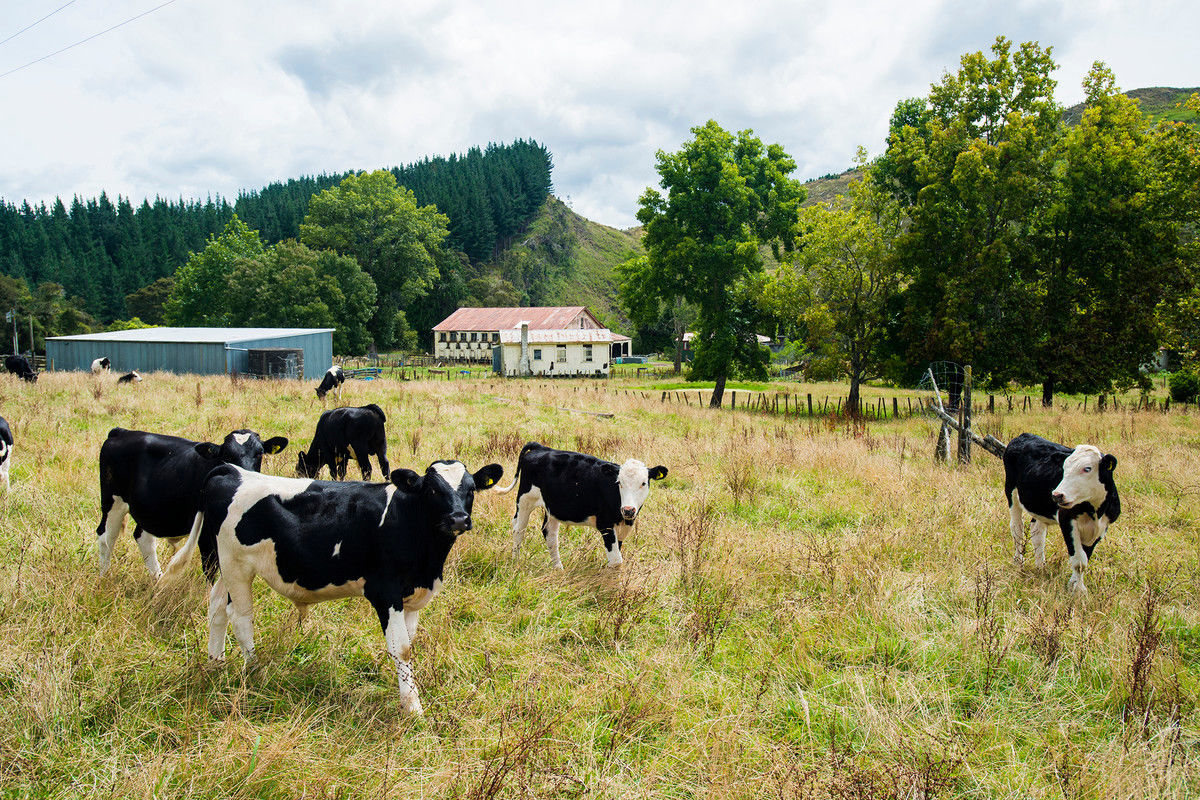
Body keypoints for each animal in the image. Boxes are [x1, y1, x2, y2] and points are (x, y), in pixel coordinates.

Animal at [96, 429, 288, 578]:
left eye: (259, 453)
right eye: (227, 455)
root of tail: (122, 432)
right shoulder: (205, 534)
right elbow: (211, 568)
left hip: (149, 509)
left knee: (143, 538)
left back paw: (157, 580)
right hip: (112, 501)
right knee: (106, 537)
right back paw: (104, 578)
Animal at [159, 460, 501, 714]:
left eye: (471, 489)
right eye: (432, 488)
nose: (458, 518)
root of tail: (231, 470)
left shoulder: (414, 596)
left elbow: (408, 641)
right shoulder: (385, 592)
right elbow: (401, 648)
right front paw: (413, 708)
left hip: (224, 566)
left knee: (216, 606)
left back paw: (215, 664)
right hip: (237, 563)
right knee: (240, 616)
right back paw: (254, 671)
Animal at [492, 443, 672, 568]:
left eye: (643, 483)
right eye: (619, 483)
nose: (628, 510)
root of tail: (542, 447)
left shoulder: (621, 528)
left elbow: (617, 555)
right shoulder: (606, 525)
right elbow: (616, 560)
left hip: (553, 506)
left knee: (550, 534)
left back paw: (558, 568)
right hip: (525, 499)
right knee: (519, 530)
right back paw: (516, 563)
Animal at [998, 431, 1118, 594]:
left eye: (1087, 468)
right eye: (1064, 468)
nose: (1057, 495)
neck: (1095, 510)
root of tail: (1024, 435)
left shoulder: (1102, 527)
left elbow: (1085, 557)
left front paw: (1075, 584)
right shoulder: (1067, 521)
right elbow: (1079, 560)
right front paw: (1078, 590)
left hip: (1039, 507)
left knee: (1037, 533)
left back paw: (1041, 566)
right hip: (1011, 492)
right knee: (1017, 529)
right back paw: (1018, 562)